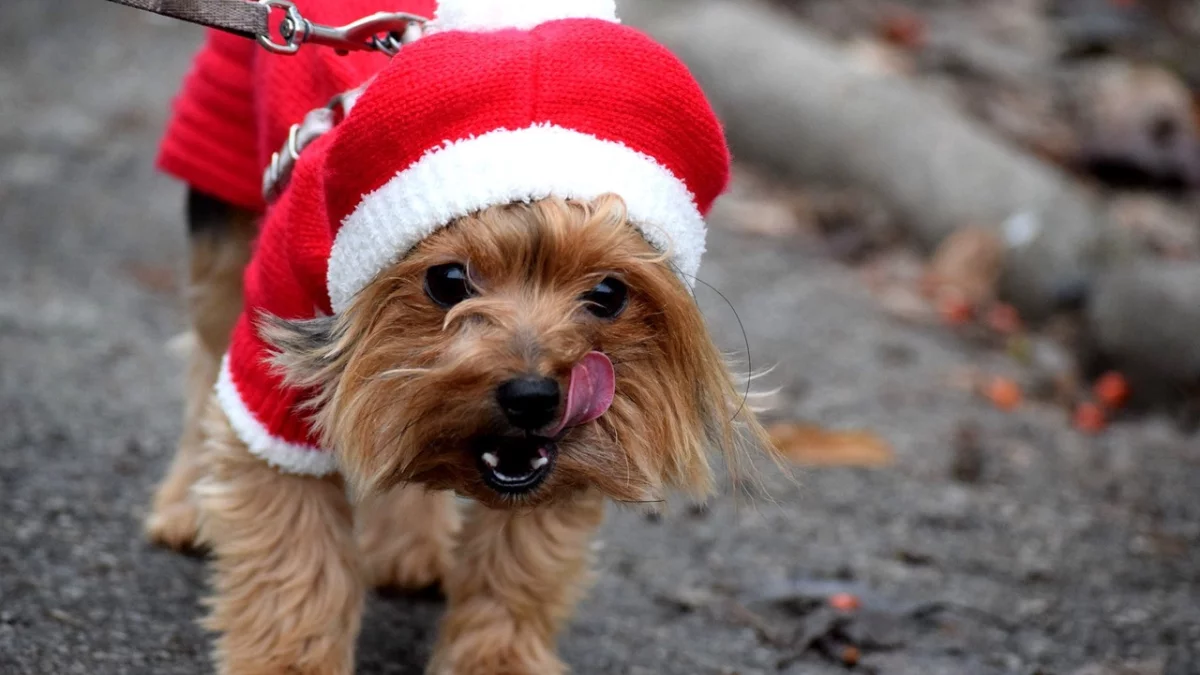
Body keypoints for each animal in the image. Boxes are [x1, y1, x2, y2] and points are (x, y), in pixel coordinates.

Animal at [142, 1, 777, 672]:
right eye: (448, 280)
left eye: (608, 294)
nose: (533, 397)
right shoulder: (282, 327)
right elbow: (292, 556)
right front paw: (290, 663)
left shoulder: (581, 442)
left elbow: (520, 566)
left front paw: (495, 659)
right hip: (225, 171)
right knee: (208, 358)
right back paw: (185, 508)